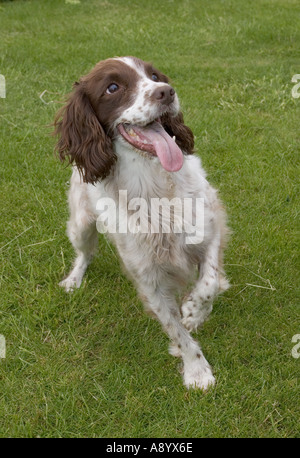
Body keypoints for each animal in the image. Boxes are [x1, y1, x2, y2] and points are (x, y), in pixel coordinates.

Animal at [54, 55, 229, 388]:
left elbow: (209, 282)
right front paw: (196, 370)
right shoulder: (149, 280)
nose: (167, 92)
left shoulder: (210, 228)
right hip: (80, 223)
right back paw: (73, 279)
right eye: (112, 87)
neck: (153, 187)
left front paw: (194, 312)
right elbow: (176, 330)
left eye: (154, 75)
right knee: (85, 253)